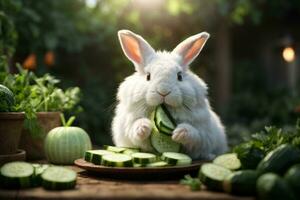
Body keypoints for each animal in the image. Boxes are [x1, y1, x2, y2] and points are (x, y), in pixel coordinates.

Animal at [112, 29, 227, 160]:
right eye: (148, 76)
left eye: (179, 76)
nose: (163, 91)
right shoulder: (129, 125)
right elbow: (135, 130)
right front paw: (144, 127)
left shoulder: (202, 131)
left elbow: (195, 135)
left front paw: (180, 133)